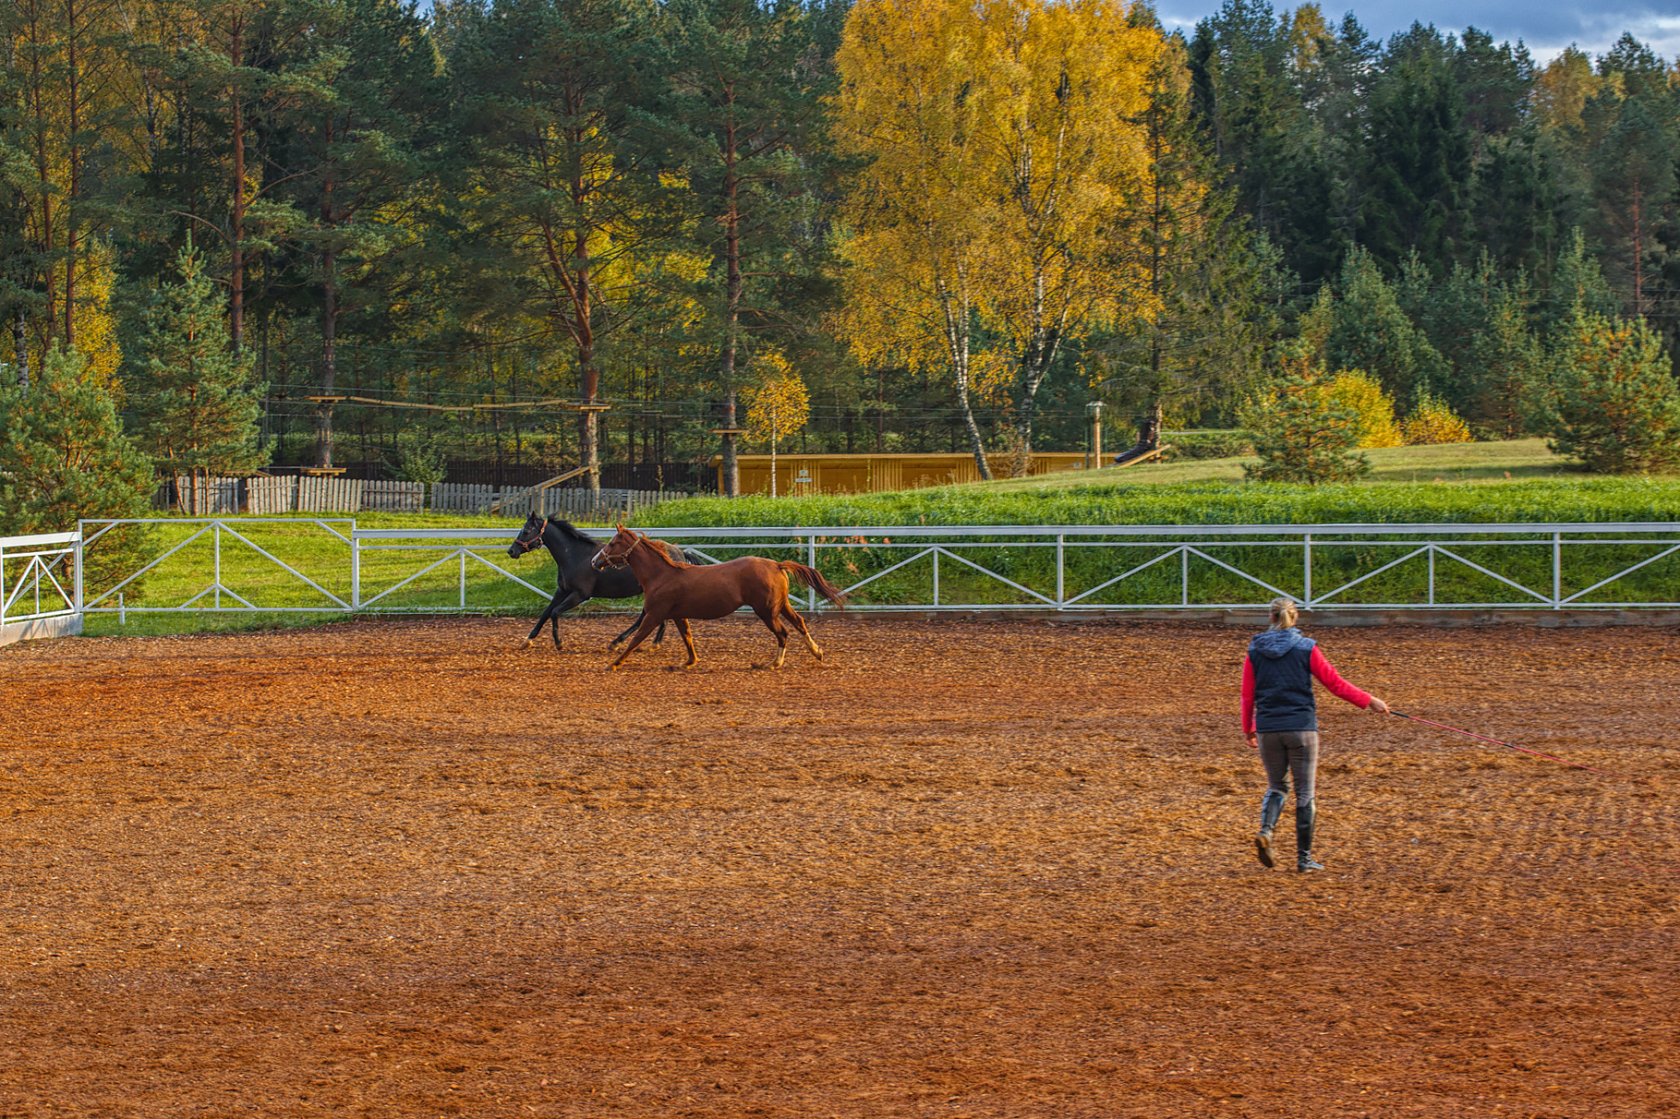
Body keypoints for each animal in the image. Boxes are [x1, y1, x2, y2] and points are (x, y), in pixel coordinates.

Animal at [503, 510, 682, 648]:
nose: (511, 551)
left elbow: (554, 612)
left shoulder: (580, 595)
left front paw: (559, 643)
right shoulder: (562, 590)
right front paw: (527, 640)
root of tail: (678, 552)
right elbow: (546, 612)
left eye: (526, 530)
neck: (574, 555)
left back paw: (626, 642)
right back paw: (645, 642)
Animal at [594, 524, 853, 672]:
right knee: (799, 623)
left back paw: (773, 663)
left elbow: (636, 638)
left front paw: (613, 663)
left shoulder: (655, 614)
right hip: (781, 606)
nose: (595, 561)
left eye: (613, 543)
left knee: (783, 633)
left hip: (766, 611)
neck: (662, 574)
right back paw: (817, 652)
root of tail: (777, 565)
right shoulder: (677, 615)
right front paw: (689, 661)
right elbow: (687, 637)